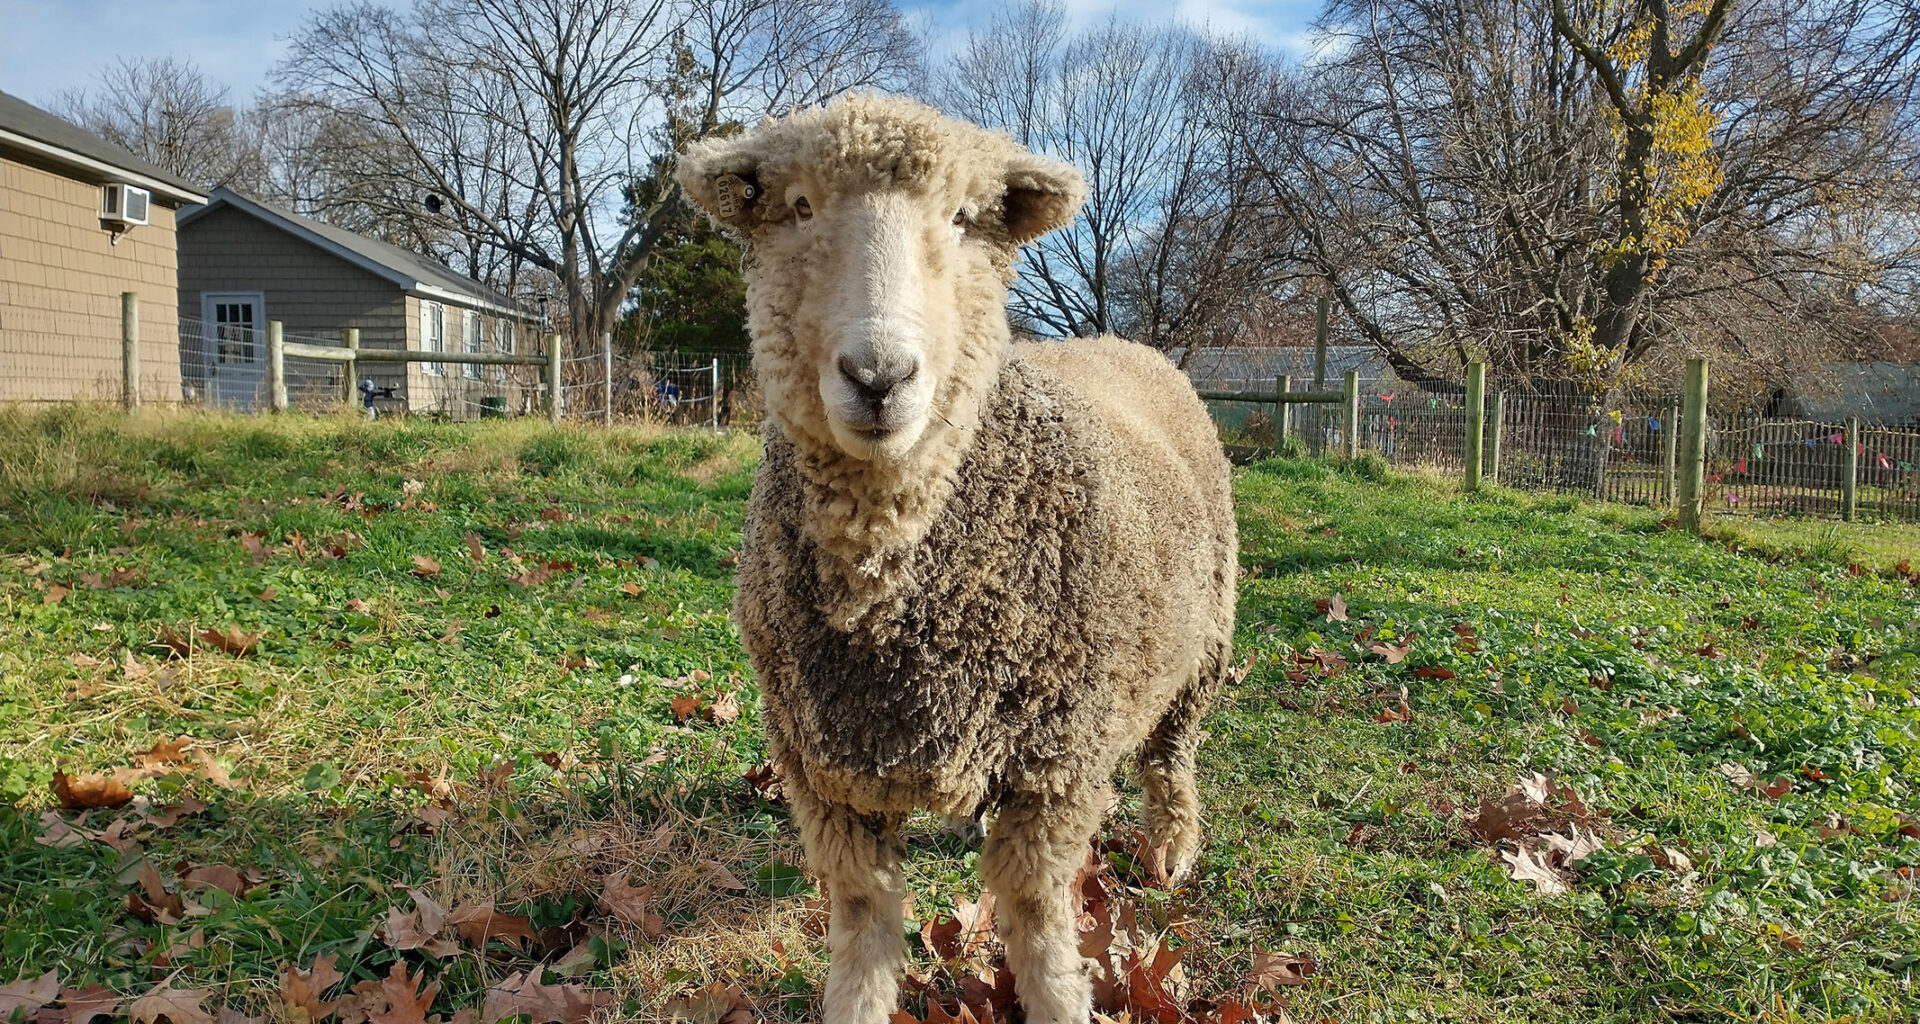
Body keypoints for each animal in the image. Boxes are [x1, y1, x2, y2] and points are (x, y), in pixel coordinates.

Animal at [676, 94, 1237, 1024]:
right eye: (798, 207)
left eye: (964, 219)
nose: (879, 376)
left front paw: (1060, 1003)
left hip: (1202, 645)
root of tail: (1124, 341)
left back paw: (1172, 851)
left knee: (1171, 757)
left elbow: (1039, 920)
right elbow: (863, 921)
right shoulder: (826, 774)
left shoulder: (1059, 768)